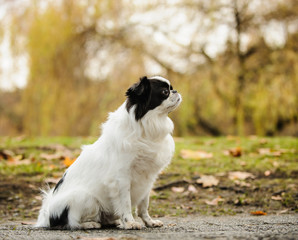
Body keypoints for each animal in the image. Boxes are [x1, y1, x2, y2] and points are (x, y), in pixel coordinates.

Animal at [36, 76, 183, 230]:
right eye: (165, 92)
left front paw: (149, 222)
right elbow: (126, 204)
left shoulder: (147, 179)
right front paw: (130, 223)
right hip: (85, 197)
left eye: (171, 88)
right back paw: (90, 224)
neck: (147, 127)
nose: (175, 91)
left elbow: (143, 206)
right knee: (73, 222)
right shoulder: (122, 179)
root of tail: (47, 216)